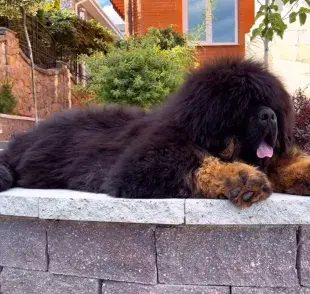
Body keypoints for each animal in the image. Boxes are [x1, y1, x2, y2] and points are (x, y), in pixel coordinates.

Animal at [1, 54, 308, 207]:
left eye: (270, 104)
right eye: (243, 105)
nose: (269, 116)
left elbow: (280, 161)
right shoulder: (141, 165)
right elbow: (199, 162)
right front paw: (240, 177)